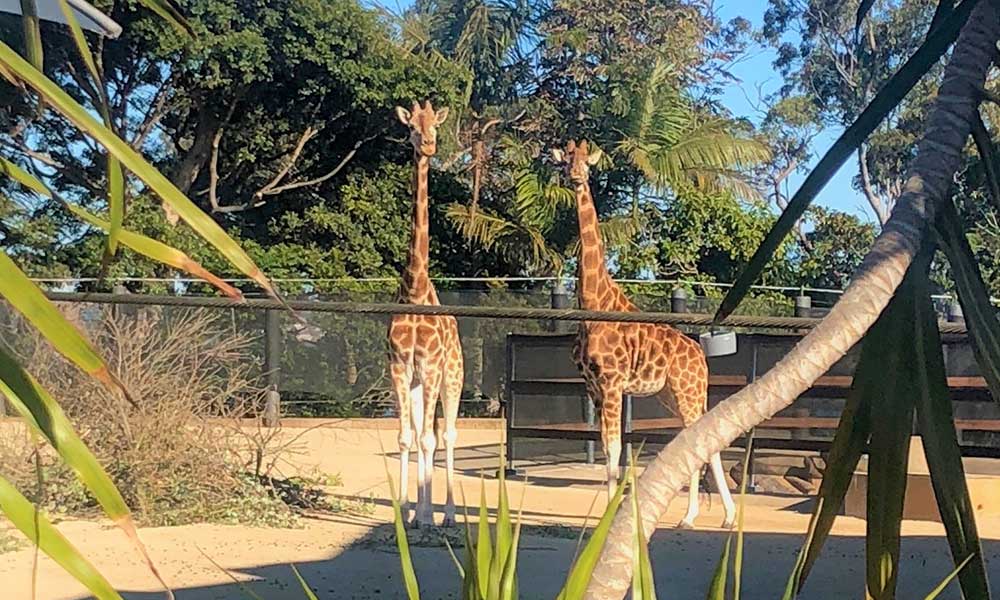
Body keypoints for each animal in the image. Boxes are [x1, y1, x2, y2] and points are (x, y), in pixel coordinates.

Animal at [551, 139, 736, 529]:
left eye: (587, 163)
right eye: (565, 161)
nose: (575, 177)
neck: (594, 302)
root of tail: (701, 357)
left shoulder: (612, 382)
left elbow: (614, 447)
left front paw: (609, 514)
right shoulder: (593, 387)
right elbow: (608, 447)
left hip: (687, 389)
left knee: (698, 441)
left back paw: (694, 517)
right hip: (672, 393)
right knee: (698, 440)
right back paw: (723, 516)